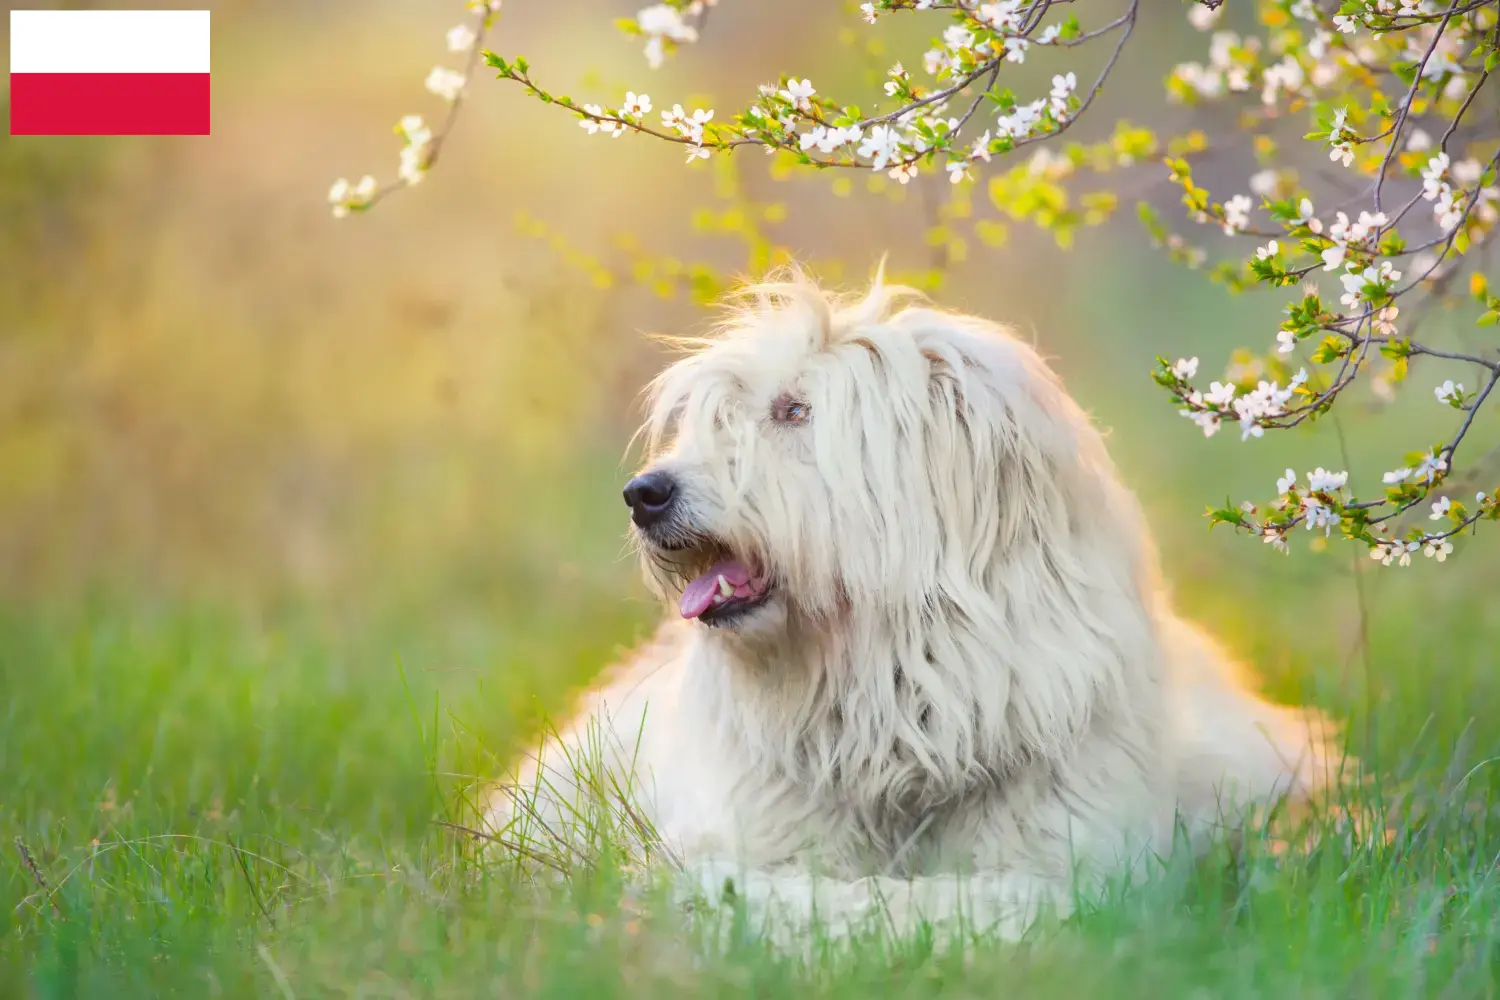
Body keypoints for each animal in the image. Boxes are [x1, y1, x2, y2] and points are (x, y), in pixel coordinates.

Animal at [486, 269, 1344, 941]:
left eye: (793, 411)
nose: (644, 494)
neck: (898, 695)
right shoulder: (746, 832)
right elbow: (769, 887)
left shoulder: (1077, 848)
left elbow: (1001, 899)